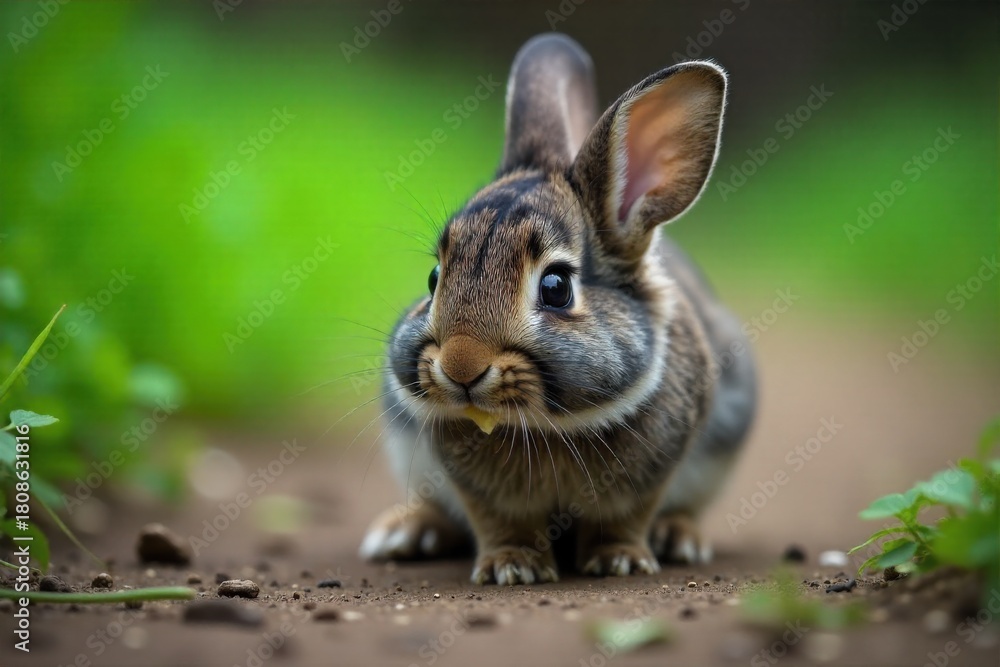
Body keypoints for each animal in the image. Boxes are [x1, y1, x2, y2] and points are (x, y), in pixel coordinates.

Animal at [359, 33, 756, 585]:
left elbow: (624, 520)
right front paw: (511, 567)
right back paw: (404, 532)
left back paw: (679, 537)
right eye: (434, 279)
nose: (460, 368)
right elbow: (501, 522)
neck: (543, 427)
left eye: (555, 288)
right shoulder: (478, 490)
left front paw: (620, 561)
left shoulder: (648, 478)